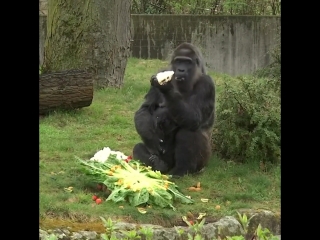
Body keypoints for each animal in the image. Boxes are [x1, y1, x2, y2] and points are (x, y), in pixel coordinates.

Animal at [131, 42, 216, 176]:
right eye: (178, 61)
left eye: (187, 62)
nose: (180, 69)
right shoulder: (160, 72)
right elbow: (145, 109)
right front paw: (150, 136)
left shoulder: (206, 84)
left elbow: (195, 117)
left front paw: (167, 88)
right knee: (138, 148)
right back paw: (159, 165)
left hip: (205, 161)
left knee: (188, 132)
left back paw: (181, 171)